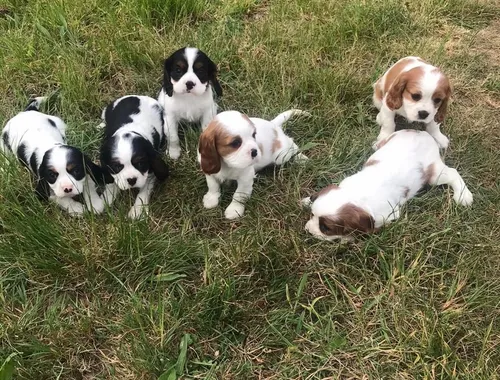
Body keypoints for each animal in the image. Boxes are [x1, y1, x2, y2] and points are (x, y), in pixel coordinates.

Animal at [304, 127, 472, 240]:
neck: (356, 194)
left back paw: (464, 195)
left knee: (453, 173)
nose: (308, 231)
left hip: (434, 174)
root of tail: (422, 133)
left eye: (325, 228)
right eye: (312, 215)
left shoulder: (387, 216)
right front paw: (307, 200)